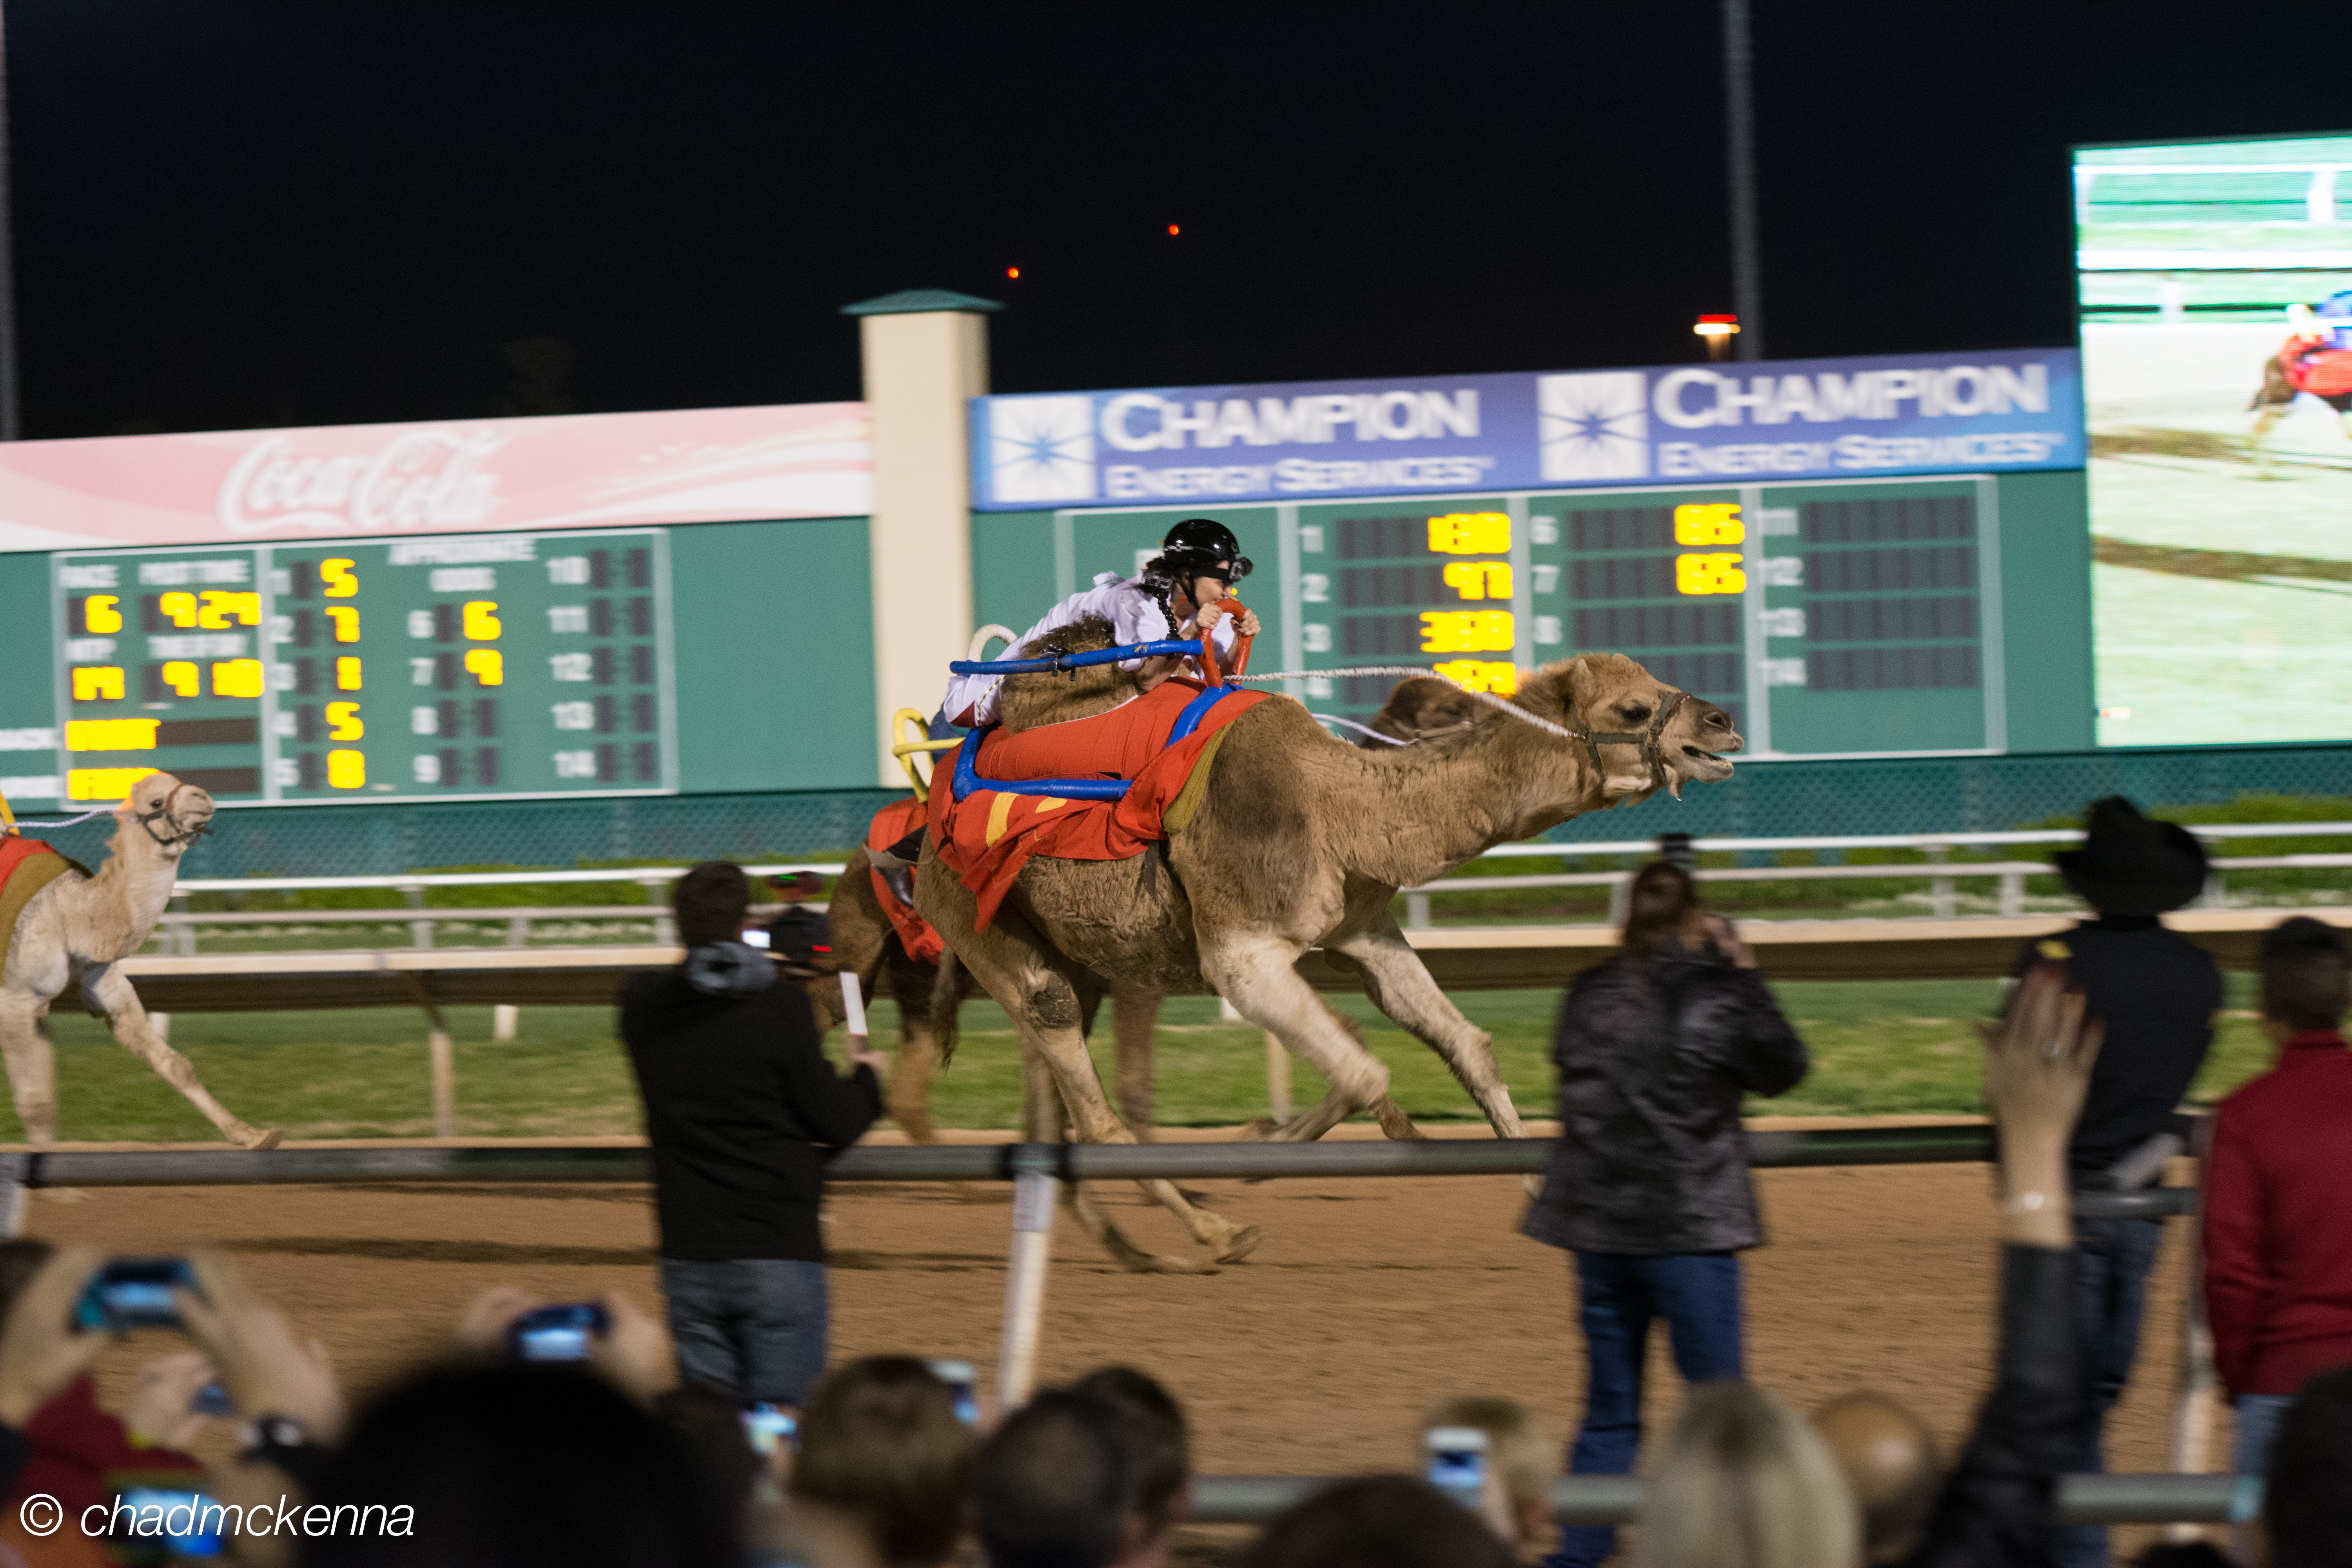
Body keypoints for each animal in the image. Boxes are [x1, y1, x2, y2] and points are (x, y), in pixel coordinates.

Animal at [0, 774, 282, 1149]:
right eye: (156, 802)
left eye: (177, 781)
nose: (202, 797)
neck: (68, 916)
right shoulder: (14, 999)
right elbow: (35, 1105)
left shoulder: (103, 981)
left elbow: (173, 1063)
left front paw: (253, 1135)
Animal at [914, 643, 1741, 1271]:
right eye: (1632, 709)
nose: (1722, 724)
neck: (1340, 810)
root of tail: (923, 827)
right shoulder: (1241, 954)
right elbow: (1362, 1067)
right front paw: (1261, 1148)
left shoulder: (1363, 932)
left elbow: (1468, 1046)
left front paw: (1541, 1204)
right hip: (981, 924)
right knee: (1089, 1098)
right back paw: (1214, 1234)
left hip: (1070, 955)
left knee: (1052, 1100)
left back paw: (1134, 1250)